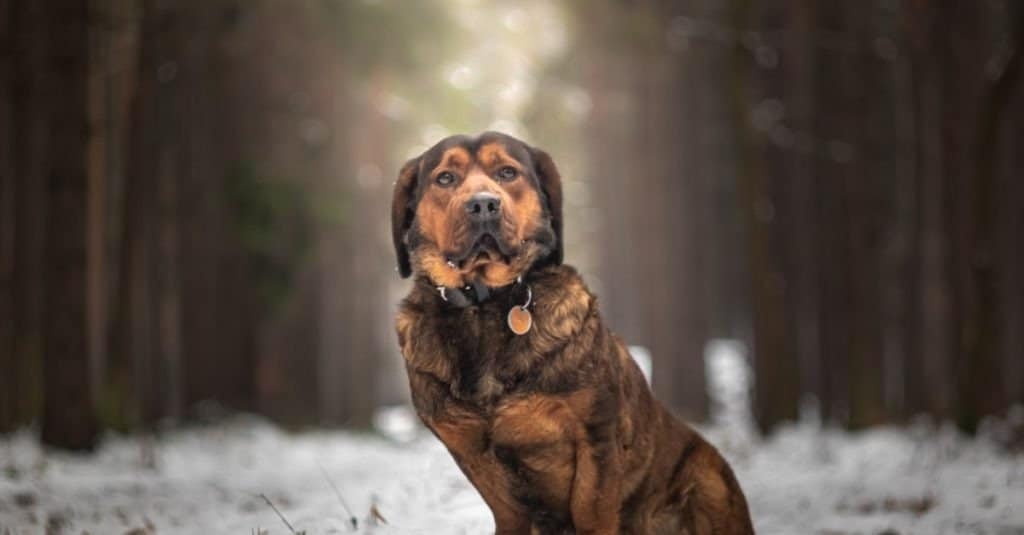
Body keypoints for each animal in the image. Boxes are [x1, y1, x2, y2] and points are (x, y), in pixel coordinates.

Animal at [391, 130, 753, 532]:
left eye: (507, 172)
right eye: (445, 178)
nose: (483, 204)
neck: (484, 305)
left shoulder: (596, 436)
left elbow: (591, 509)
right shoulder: (473, 455)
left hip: (708, 480)